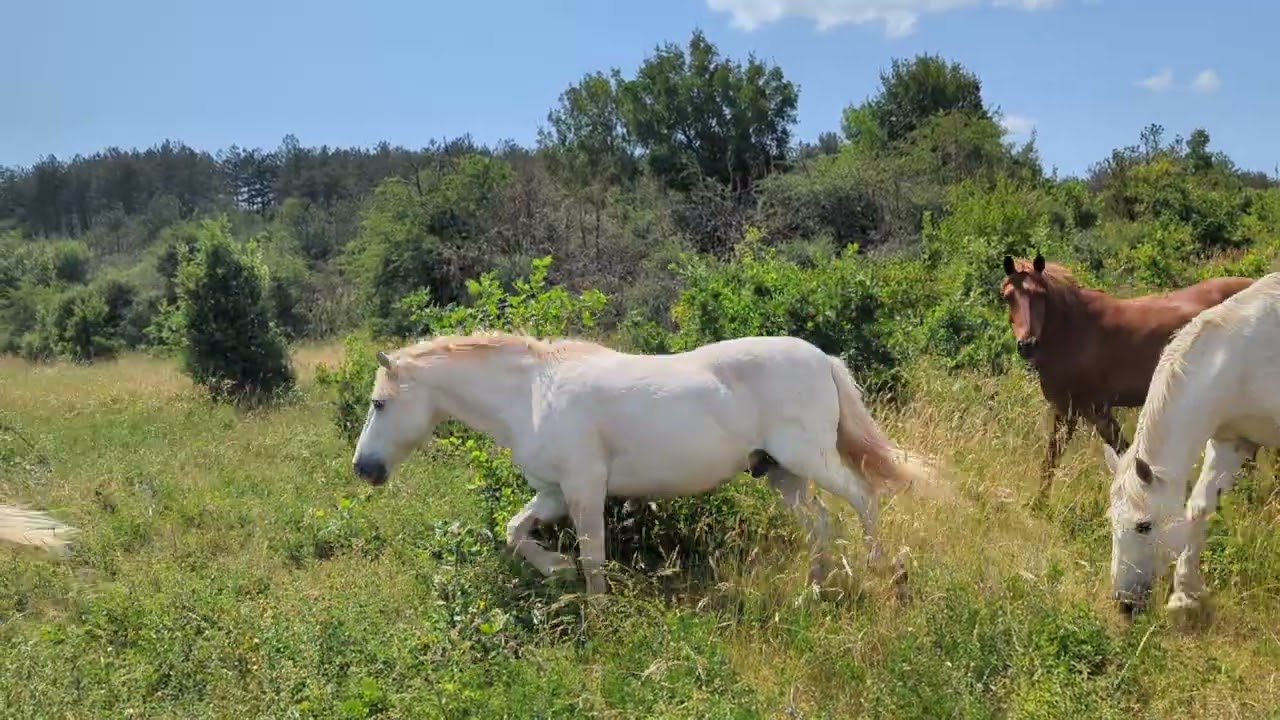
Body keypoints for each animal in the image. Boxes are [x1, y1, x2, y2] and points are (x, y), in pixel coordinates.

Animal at [349, 331, 938, 594]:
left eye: (379, 404)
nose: (364, 469)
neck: (532, 395)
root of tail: (822, 357)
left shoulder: (585, 488)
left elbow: (593, 559)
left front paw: (598, 619)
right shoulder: (554, 493)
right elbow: (515, 531)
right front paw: (555, 568)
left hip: (808, 458)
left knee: (863, 496)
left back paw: (886, 570)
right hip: (781, 473)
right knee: (822, 521)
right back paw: (812, 591)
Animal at [1000, 253, 1254, 499]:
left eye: (1041, 295)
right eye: (1008, 297)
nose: (1027, 345)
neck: (1074, 330)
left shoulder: (1095, 409)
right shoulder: (1066, 409)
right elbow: (1052, 456)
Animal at [1103, 271, 1280, 618]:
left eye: (1143, 526)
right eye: (1111, 520)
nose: (1124, 603)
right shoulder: (1230, 442)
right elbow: (1200, 507)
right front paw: (1184, 593)